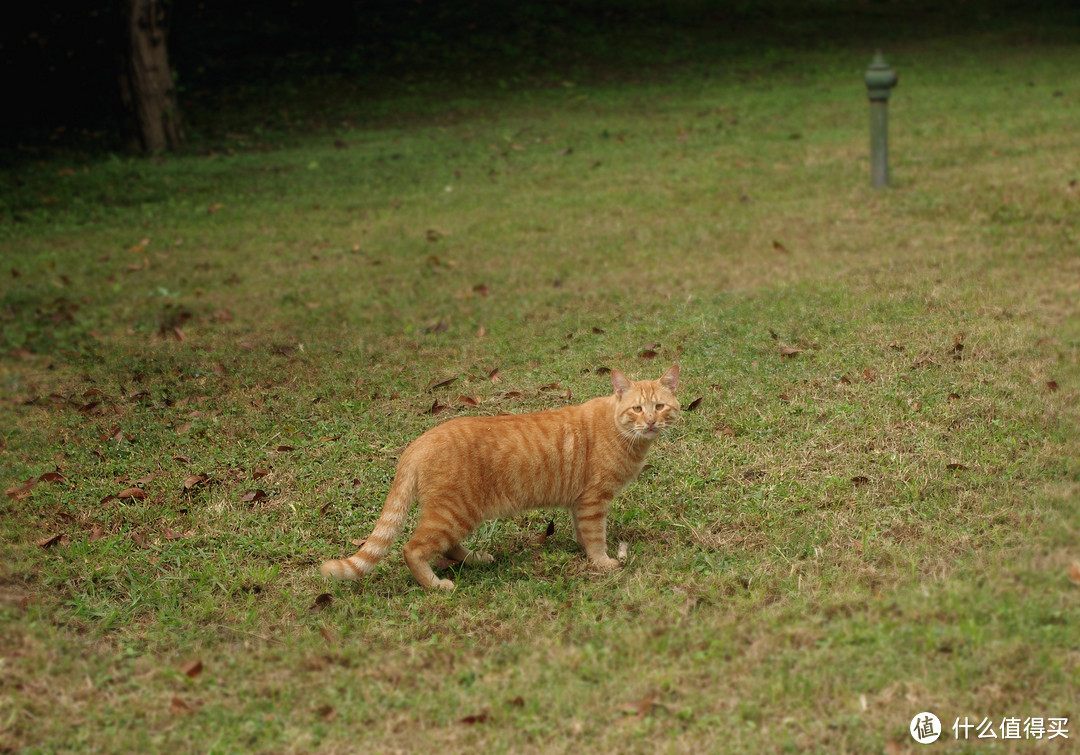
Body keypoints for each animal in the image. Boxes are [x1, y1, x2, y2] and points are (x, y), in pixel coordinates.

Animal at [315, 367, 678, 591]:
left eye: (660, 406)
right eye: (637, 409)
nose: (650, 422)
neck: (622, 432)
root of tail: (419, 441)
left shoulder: (580, 502)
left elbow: (582, 532)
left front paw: (584, 550)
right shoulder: (593, 500)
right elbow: (595, 535)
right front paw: (602, 562)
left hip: (459, 514)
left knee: (448, 547)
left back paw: (476, 559)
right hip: (454, 512)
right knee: (412, 549)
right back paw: (434, 585)